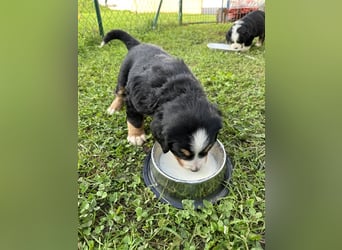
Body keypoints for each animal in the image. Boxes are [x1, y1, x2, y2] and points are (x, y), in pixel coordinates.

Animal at [100, 29, 223, 172]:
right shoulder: (133, 99)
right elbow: (134, 118)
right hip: (123, 74)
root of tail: (139, 44)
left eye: (208, 149)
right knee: (119, 92)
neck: (179, 92)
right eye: (182, 153)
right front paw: (136, 136)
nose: (195, 170)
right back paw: (113, 108)